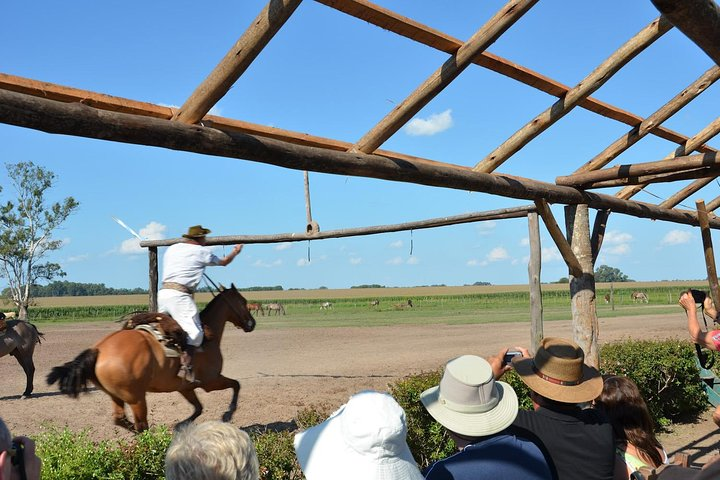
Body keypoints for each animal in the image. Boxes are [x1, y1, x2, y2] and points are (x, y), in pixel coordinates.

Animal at [45, 284, 256, 434]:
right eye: (243, 301)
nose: (252, 323)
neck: (207, 335)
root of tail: (99, 349)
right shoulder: (211, 382)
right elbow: (236, 385)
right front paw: (228, 413)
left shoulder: (186, 387)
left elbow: (198, 408)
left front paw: (180, 426)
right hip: (137, 398)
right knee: (141, 425)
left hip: (116, 396)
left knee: (121, 420)